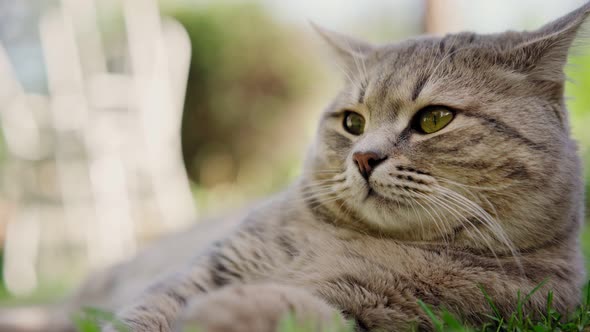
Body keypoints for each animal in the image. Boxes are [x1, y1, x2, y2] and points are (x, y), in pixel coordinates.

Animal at [2, 2, 588, 332]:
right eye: (352, 122)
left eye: (434, 119)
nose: (364, 156)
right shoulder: (207, 269)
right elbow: (145, 313)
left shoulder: (404, 313)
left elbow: (298, 306)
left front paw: (230, 312)